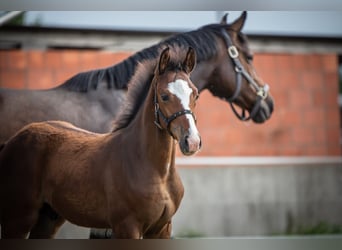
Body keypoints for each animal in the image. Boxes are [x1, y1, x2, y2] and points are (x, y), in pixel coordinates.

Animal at [0, 46, 200, 239]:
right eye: (164, 96)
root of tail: (12, 140)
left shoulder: (162, 229)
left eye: (195, 94)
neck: (158, 173)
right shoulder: (127, 226)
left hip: (48, 218)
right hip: (18, 218)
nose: (192, 141)